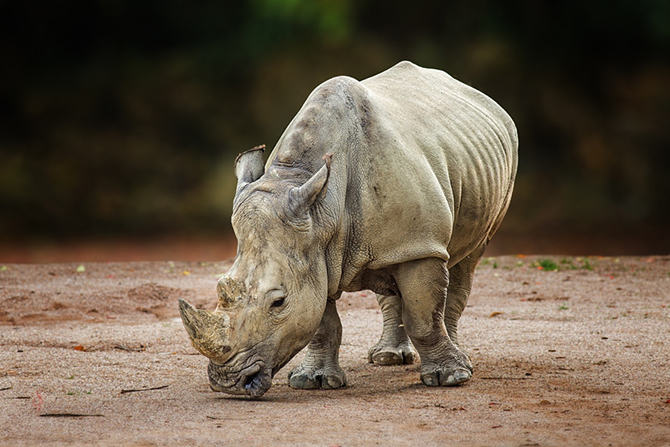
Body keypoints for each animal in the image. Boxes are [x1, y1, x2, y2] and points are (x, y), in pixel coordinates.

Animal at [178, 60, 520, 400]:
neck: (318, 210)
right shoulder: (313, 252)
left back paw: (460, 361)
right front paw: (313, 381)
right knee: (391, 273)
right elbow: (323, 323)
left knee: (466, 261)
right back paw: (388, 358)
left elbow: (423, 316)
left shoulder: (420, 245)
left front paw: (449, 378)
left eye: (278, 302)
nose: (227, 383)